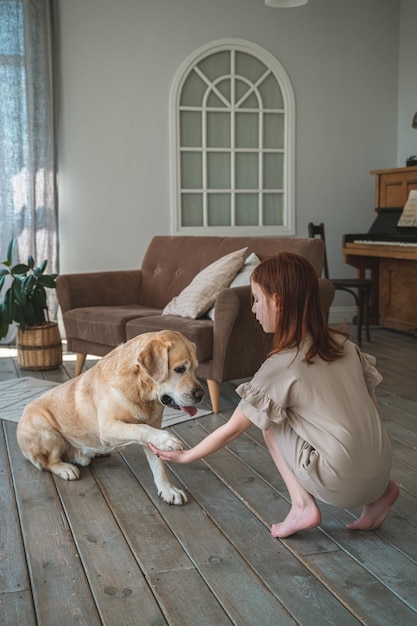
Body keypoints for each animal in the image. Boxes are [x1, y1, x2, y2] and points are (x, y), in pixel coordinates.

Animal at [17, 330, 204, 504]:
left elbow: (157, 463)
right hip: (47, 431)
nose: (200, 395)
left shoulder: (153, 427)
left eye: (195, 368)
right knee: (48, 462)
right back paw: (65, 468)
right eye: (180, 369)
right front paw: (167, 440)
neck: (140, 390)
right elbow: (140, 428)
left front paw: (167, 489)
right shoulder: (108, 428)